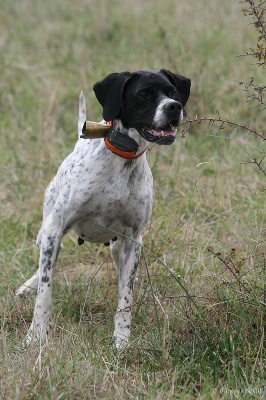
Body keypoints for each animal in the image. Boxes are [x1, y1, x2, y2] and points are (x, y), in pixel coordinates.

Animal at [15, 69, 191, 346]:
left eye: (172, 92)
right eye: (143, 95)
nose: (174, 107)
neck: (122, 160)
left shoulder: (133, 240)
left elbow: (125, 297)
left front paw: (121, 340)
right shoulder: (55, 229)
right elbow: (45, 291)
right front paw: (36, 335)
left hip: (117, 247)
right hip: (45, 231)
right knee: (49, 259)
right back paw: (28, 286)